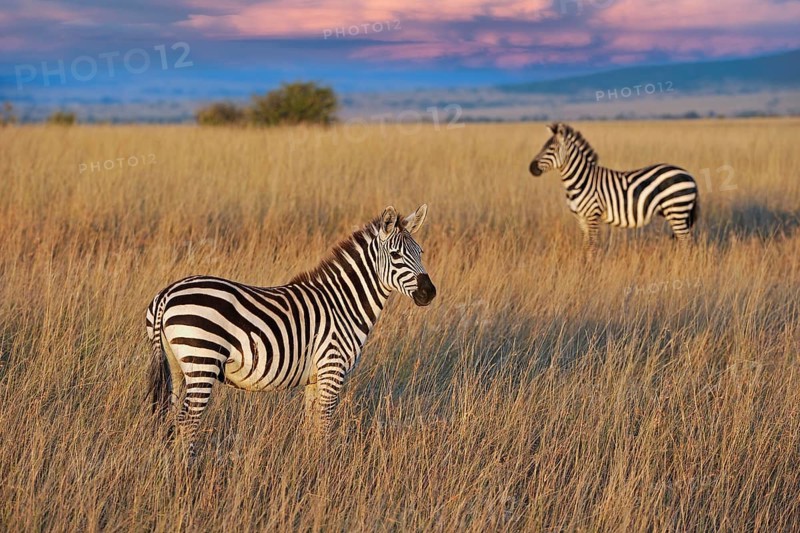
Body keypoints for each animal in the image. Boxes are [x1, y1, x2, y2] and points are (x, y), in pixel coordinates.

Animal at [146, 205, 436, 454]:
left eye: (420, 252)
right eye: (396, 255)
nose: (429, 292)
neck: (343, 303)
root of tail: (166, 294)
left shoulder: (315, 377)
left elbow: (311, 425)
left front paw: (309, 461)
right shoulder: (333, 369)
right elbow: (324, 425)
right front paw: (323, 467)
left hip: (176, 366)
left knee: (174, 416)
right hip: (202, 361)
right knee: (187, 421)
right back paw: (187, 469)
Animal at [529, 123, 698, 255]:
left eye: (551, 149)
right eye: (543, 147)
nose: (531, 168)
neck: (580, 180)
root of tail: (689, 174)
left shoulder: (593, 215)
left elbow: (592, 246)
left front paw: (591, 270)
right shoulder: (580, 217)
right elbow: (585, 245)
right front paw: (583, 267)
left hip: (677, 210)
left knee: (686, 241)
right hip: (676, 213)